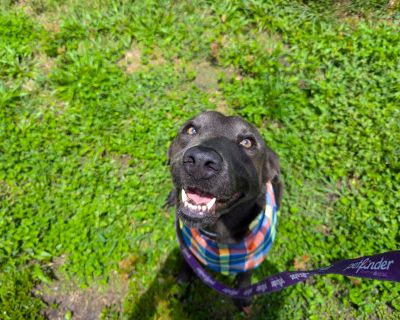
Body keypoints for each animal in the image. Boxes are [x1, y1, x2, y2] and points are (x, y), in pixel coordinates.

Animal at [167, 111, 282, 308]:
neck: (218, 233)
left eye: (247, 142)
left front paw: (243, 294)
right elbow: (189, 262)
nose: (200, 160)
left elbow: (246, 274)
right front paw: (183, 279)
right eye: (190, 129)